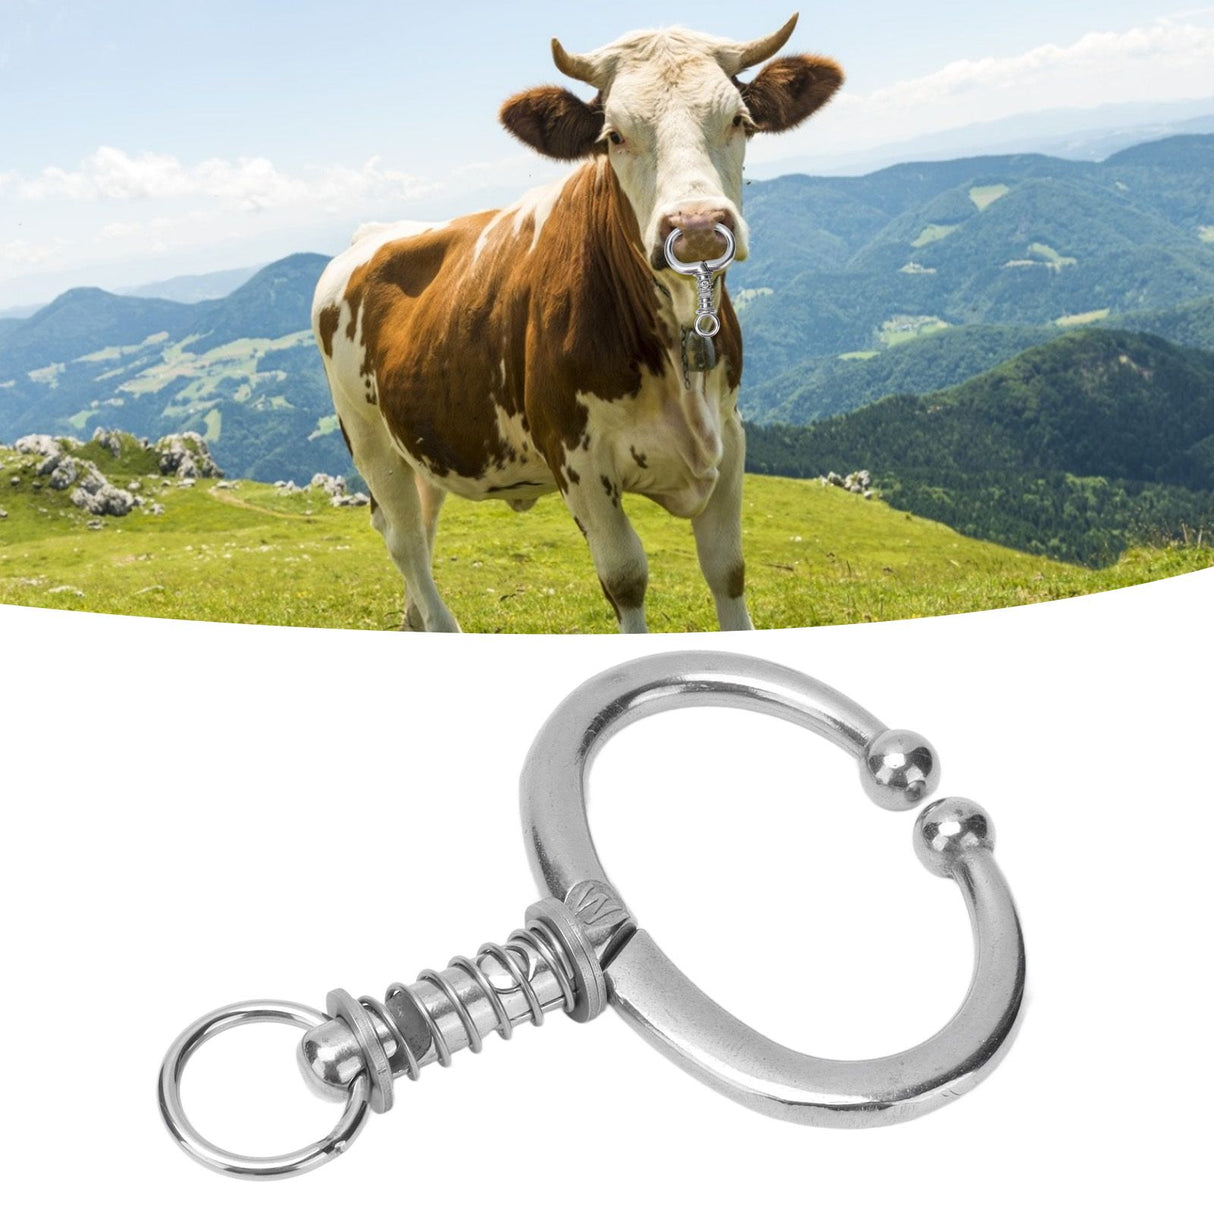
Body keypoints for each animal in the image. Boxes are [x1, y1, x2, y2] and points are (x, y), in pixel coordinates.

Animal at [312, 14, 842, 632]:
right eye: (613, 136)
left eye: (740, 119)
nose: (696, 229)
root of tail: (371, 233)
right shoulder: (578, 460)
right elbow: (626, 577)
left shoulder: (730, 436)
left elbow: (727, 568)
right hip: (367, 435)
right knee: (403, 538)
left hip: (420, 441)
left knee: (421, 522)